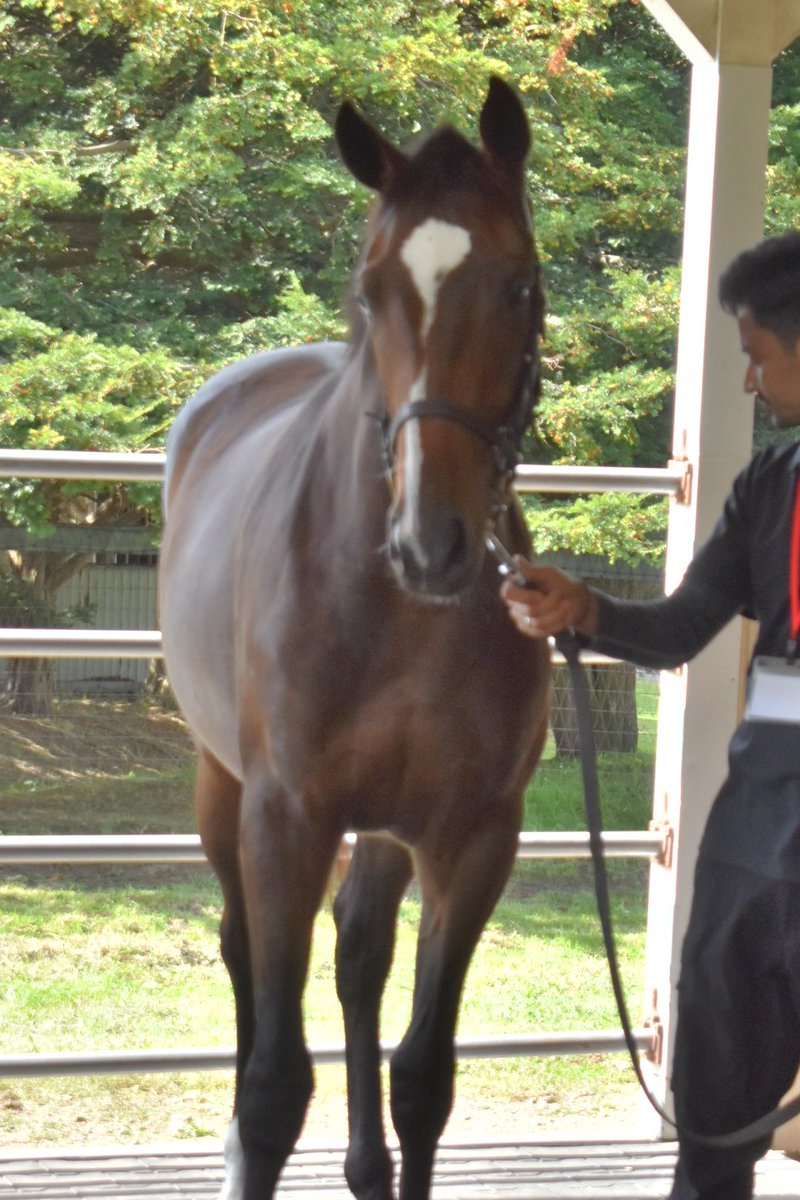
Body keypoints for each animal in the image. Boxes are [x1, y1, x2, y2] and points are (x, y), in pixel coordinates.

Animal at [159, 76, 550, 1200]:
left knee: (359, 954)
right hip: (223, 792)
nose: (433, 542)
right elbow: (273, 1089)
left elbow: (423, 1075)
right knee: (245, 953)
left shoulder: (472, 837)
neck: (393, 613)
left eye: (520, 286)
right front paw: (247, 1137)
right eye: (370, 291)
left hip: (383, 828)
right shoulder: (286, 820)